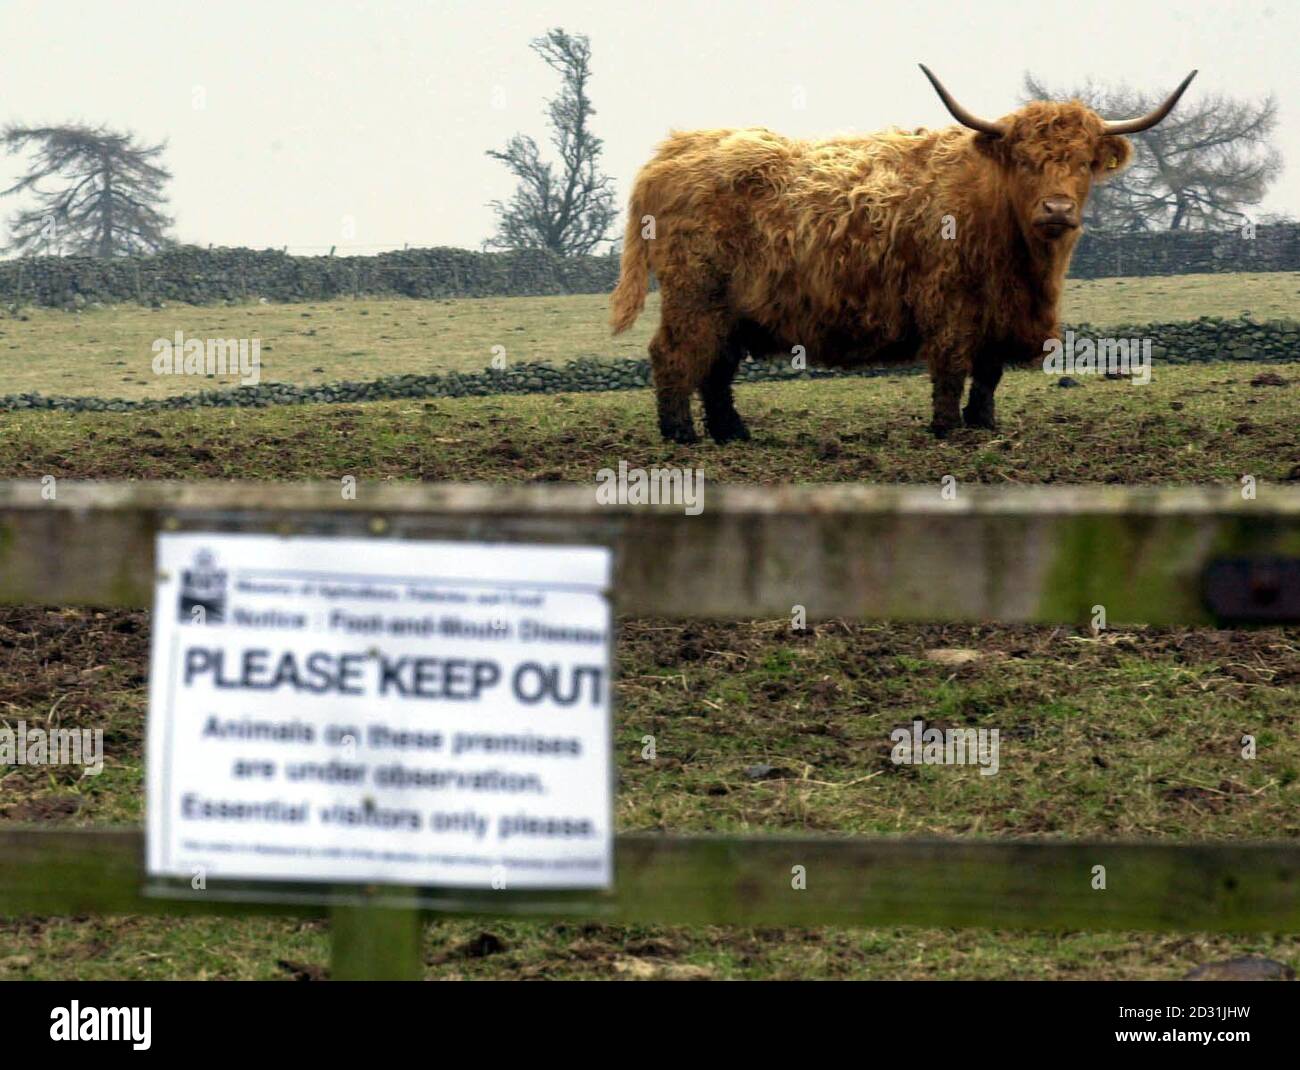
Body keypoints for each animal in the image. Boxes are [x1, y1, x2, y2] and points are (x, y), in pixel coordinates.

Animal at [608, 65, 1196, 442]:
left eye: (1082, 163)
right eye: (1026, 160)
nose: (1056, 208)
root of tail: (673, 149)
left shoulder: (999, 316)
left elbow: (989, 374)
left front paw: (984, 425)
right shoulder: (951, 304)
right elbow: (952, 366)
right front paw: (947, 429)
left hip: (730, 308)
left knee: (716, 365)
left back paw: (733, 434)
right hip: (695, 294)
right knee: (674, 355)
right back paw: (681, 435)